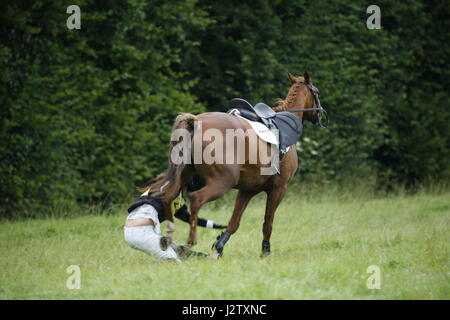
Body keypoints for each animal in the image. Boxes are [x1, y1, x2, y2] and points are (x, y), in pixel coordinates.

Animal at [146, 70, 326, 258]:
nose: (320, 114)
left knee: (167, 197)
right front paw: (266, 251)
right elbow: (267, 223)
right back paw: (189, 241)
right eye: (317, 92)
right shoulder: (278, 188)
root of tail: (195, 121)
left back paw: (168, 237)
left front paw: (219, 246)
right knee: (196, 200)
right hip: (223, 182)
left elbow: (234, 222)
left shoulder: (247, 190)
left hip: (185, 177)